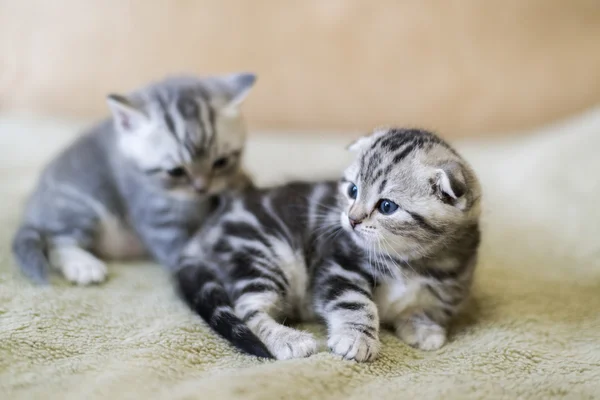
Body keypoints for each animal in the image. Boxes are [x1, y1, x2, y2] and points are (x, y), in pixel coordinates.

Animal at [12, 72, 255, 284]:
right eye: (176, 172)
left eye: (221, 162)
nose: (202, 188)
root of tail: (32, 207)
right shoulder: (156, 218)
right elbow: (179, 247)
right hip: (80, 206)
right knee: (57, 243)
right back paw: (83, 265)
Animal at [176, 127, 480, 360]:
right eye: (353, 190)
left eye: (387, 206)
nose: (352, 219)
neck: (410, 261)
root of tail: (205, 231)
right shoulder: (338, 266)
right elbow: (355, 302)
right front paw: (357, 339)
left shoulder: (443, 290)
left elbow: (417, 309)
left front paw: (423, 328)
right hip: (262, 253)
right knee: (248, 308)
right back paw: (288, 340)